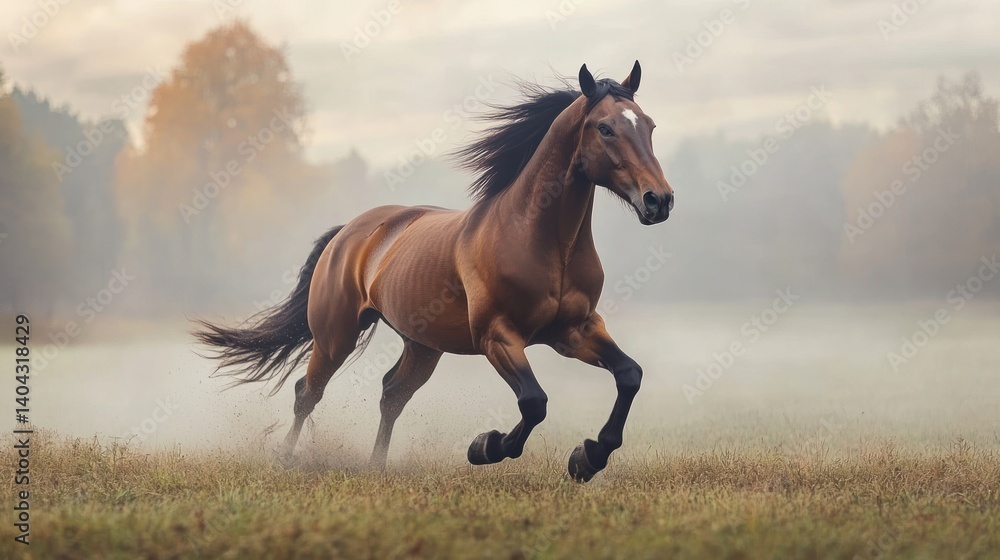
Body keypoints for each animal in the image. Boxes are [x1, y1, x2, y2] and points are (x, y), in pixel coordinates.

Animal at [196, 61, 674, 482]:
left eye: (649, 126)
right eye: (605, 128)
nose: (659, 201)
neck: (543, 241)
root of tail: (347, 233)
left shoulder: (574, 330)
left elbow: (629, 375)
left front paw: (588, 457)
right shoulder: (498, 337)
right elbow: (534, 402)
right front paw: (486, 447)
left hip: (423, 346)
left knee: (391, 393)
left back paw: (376, 465)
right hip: (336, 336)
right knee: (307, 393)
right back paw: (286, 458)